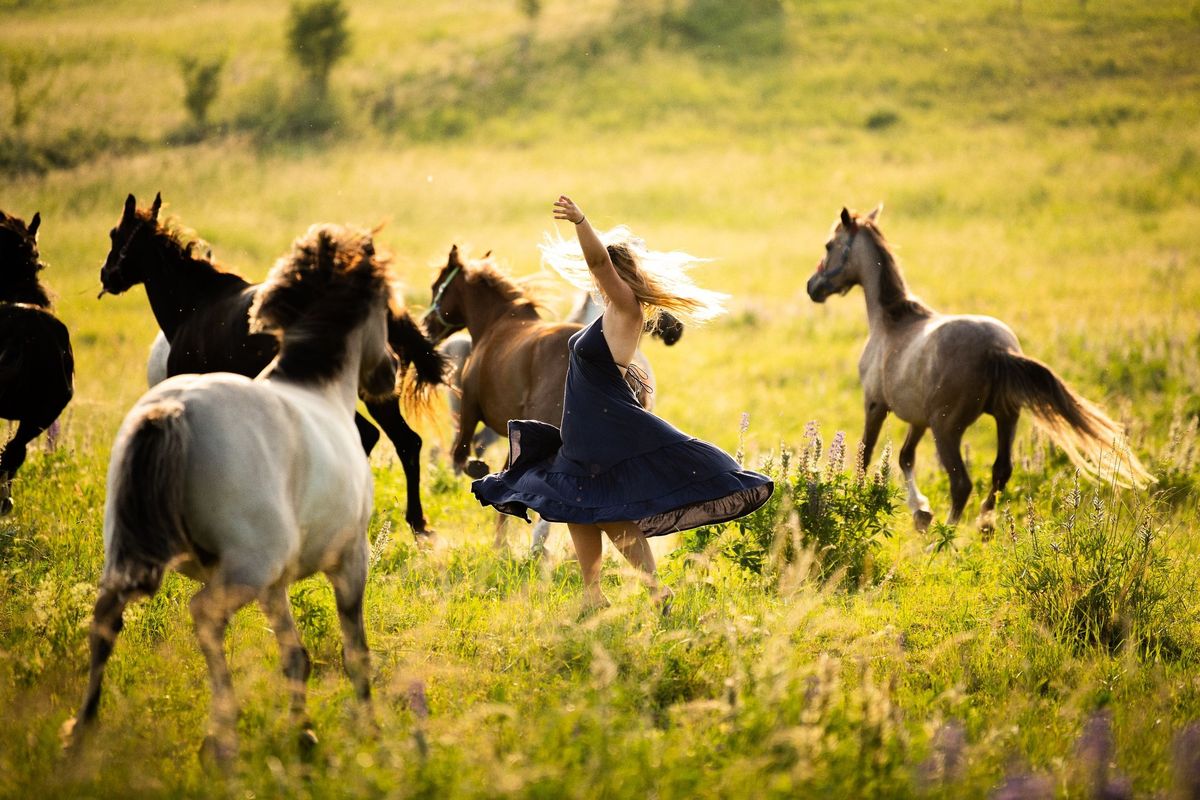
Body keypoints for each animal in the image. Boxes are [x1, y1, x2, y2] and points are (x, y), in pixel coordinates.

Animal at [806, 206, 1152, 532]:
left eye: (829, 245)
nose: (813, 287)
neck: (891, 321)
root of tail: (997, 350)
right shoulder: (918, 419)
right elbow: (905, 457)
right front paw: (921, 512)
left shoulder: (877, 405)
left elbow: (866, 456)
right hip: (1005, 419)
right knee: (1001, 472)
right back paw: (984, 527)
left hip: (948, 429)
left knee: (962, 483)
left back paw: (943, 541)